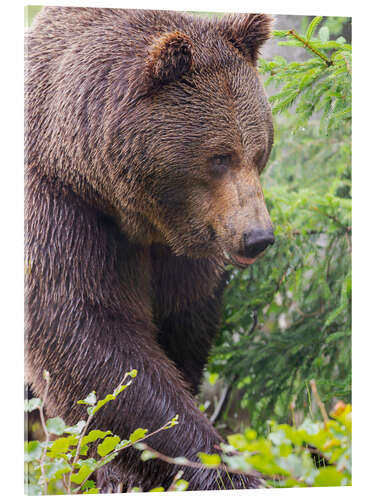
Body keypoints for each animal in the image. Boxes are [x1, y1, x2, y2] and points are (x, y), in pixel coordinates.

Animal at [25, 6, 274, 492]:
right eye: (220, 157)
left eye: (259, 151)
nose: (258, 236)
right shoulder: (59, 208)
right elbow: (89, 333)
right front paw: (221, 467)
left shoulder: (183, 246)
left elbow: (182, 320)